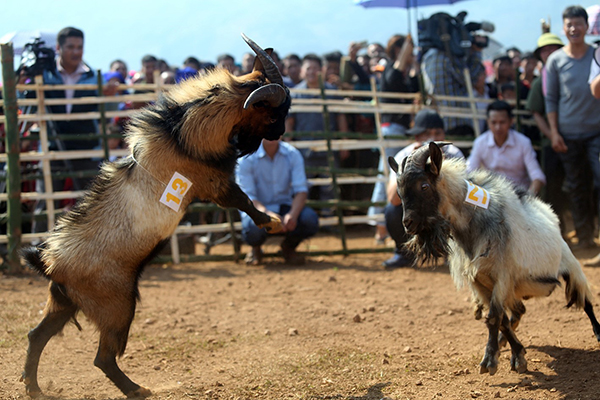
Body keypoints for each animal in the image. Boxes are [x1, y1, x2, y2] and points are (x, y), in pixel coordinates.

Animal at [19, 35, 290, 400]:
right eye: (274, 114)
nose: (282, 132)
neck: (181, 135)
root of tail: (49, 262)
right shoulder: (215, 184)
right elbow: (244, 200)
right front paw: (271, 221)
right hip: (116, 306)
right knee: (103, 357)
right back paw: (136, 389)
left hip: (63, 303)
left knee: (38, 336)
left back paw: (35, 387)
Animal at [390, 141, 600, 376]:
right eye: (399, 192)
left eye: (424, 186)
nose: (408, 224)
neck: (473, 229)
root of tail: (550, 215)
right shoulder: (479, 282)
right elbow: (501, 321)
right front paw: (516, 353)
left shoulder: (502, 277)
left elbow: (494, 317)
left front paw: (490, 360)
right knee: (519, 311)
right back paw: (503, 340)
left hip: (570, 266)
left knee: (586, 301)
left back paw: (598, 332)